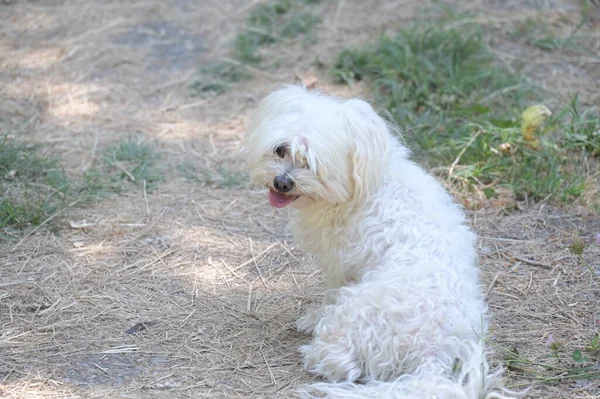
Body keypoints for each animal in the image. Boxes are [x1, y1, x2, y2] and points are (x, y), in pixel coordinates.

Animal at [241, 86, 512, 398]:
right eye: (281, 149)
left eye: (311, 162)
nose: (281, 182)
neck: (363, 188)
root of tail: (434, 356)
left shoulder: (341, 264)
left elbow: (330, 294)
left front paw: (314, 317)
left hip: (355, 313)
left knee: (340, 362)